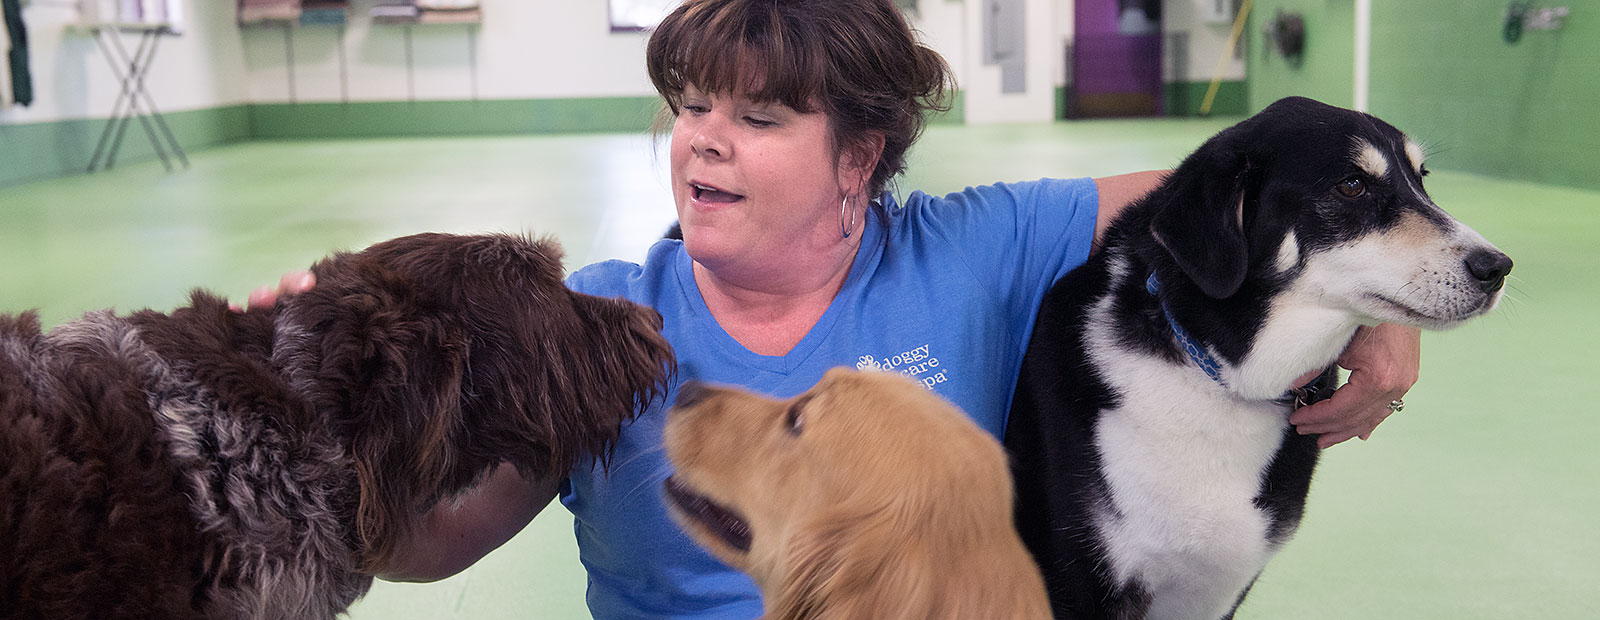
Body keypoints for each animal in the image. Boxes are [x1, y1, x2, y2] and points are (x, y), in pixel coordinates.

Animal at [1004, 98, 1516, 620]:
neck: (1220, 378)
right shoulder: (1082, 585)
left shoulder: (1217, 594)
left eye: (1421, 178)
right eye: (1352, 185)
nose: (1496, 268)